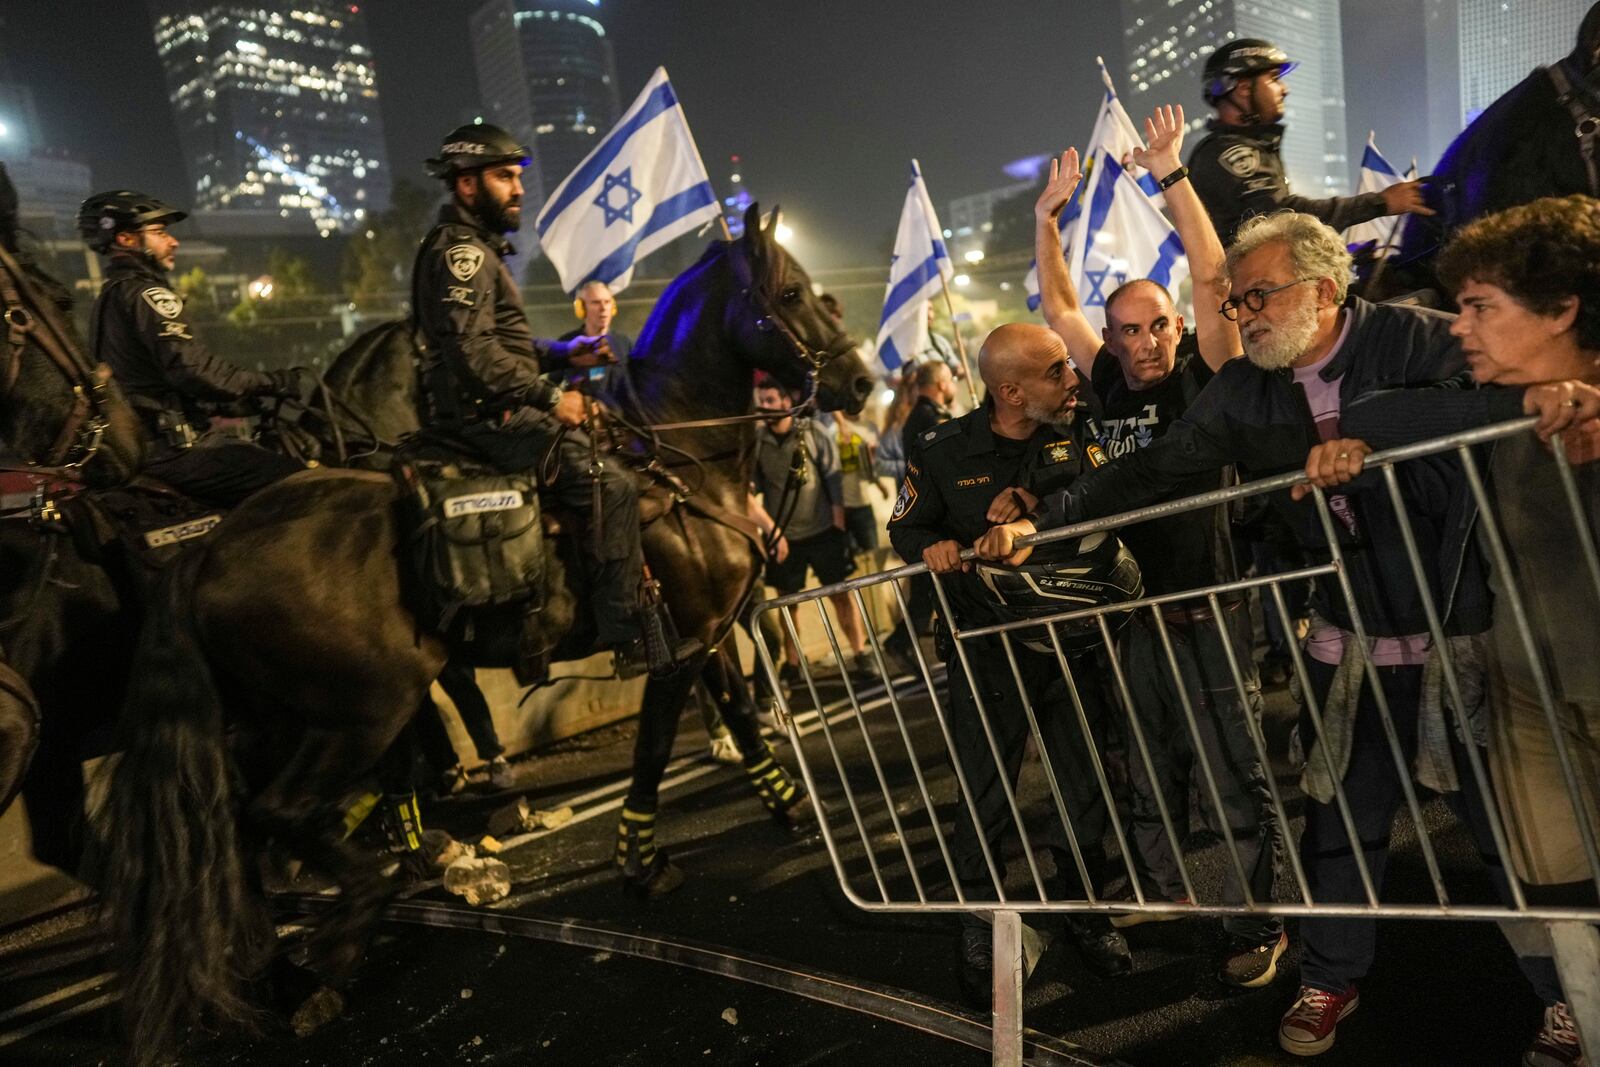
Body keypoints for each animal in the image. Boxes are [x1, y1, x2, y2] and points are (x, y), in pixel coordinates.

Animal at [96, 206, 876, 1062]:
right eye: (792, 293)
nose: (861, 383)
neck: (677, 456)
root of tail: (206, 550)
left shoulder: (703, 630)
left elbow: (738, 710)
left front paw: (789, 805)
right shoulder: (679, 644)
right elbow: (653, 747)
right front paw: (639, 861)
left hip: (275, 719)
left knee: (237, 832)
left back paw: (288, 970)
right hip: (362, 710)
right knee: (281, 811)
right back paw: (352, 916)